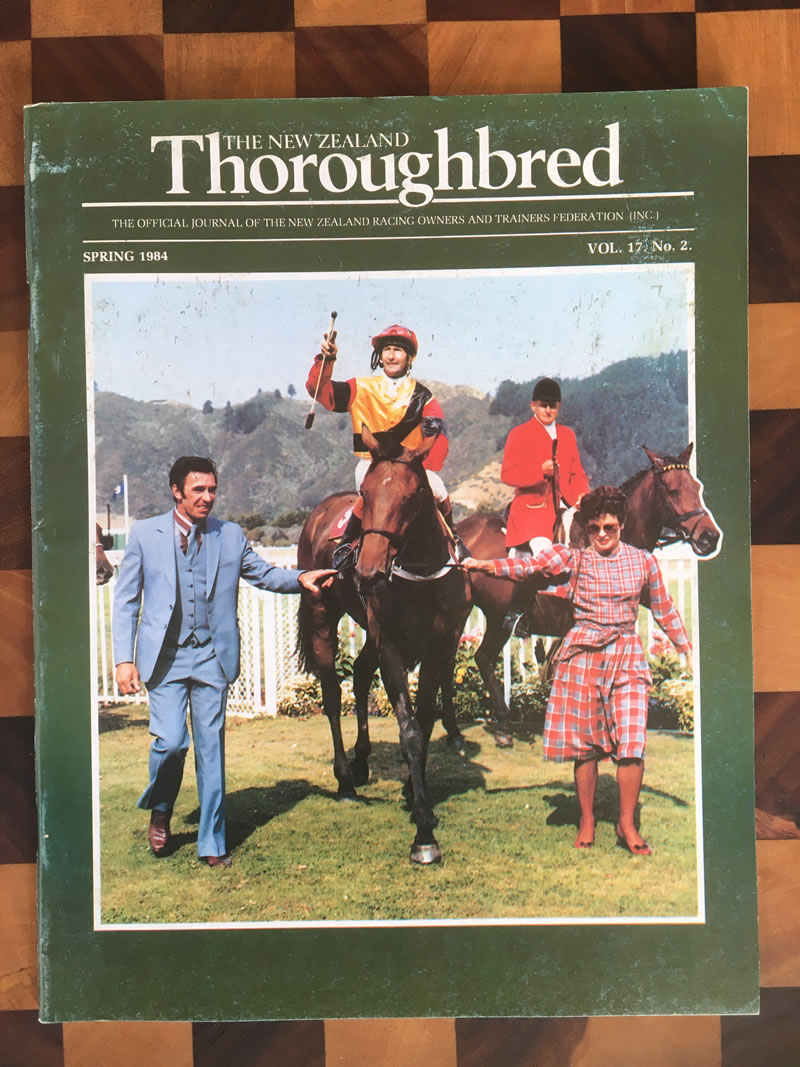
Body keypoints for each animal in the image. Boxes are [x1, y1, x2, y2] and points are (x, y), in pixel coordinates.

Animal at [296, 424, 469, 866]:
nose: (368, 572)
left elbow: (424, 721)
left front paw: (413, 788)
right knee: (331, 691)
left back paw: (360, 763)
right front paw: (424, 832)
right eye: (366, 496)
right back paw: (344, 780)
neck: (421, 576)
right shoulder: (391, 646)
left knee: (358, 675)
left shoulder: (437, 647)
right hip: (322, 617)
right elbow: (409, 730)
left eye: (413, 495)